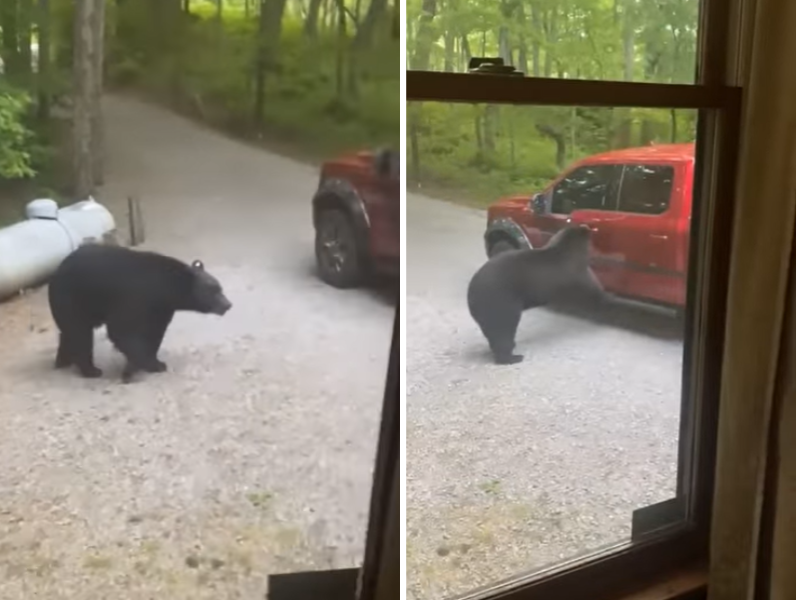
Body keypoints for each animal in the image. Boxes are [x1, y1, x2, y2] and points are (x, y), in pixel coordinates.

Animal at [48, 244, 231, 384]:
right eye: (214, 291)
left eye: (220, 288)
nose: (228, 305)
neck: (166, 288)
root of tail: (56, 272)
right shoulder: (136, 298)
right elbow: (121, 330)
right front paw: (138, 368)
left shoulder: (161, 308)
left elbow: (155, 332)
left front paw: (153, 363)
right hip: (72, 299)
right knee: (80, 334)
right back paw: (91, 370)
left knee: (70, 333)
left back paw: (62, 361)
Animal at [468, 226, 608, 364]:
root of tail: (471, 292)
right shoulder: (578, 275)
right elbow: (595, 296)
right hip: (501, 302)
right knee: (503, 330)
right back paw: (512, 357)